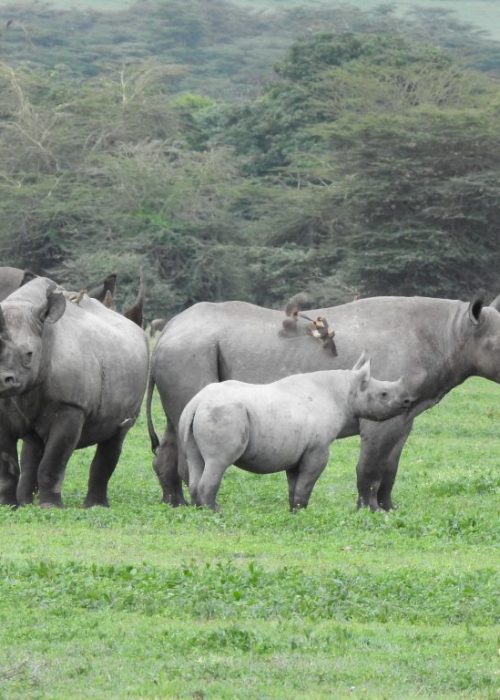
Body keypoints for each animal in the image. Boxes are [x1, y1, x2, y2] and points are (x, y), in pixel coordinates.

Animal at [0, 277, 149, 507]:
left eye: (29, 355)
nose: (3, 380)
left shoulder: (71, 406)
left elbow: (53, 461)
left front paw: (50, 508)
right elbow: (6, 466)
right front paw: (8, 506)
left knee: (117, 434)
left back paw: (95, 507)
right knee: (33, 447)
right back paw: (26, 503)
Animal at [179, 356, 414, 510]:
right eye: (384, 394)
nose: (408, 401)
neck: (346, 390)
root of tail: (197, 402)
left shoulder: (296, 450)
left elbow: (294, 485)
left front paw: (293, 511)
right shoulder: (317, 449)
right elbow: (306, 483)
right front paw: (303, 511)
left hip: (194, 415)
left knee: (196, 460)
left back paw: (200, 510)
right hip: (224, 413)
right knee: (218, 462)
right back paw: (215, 512)